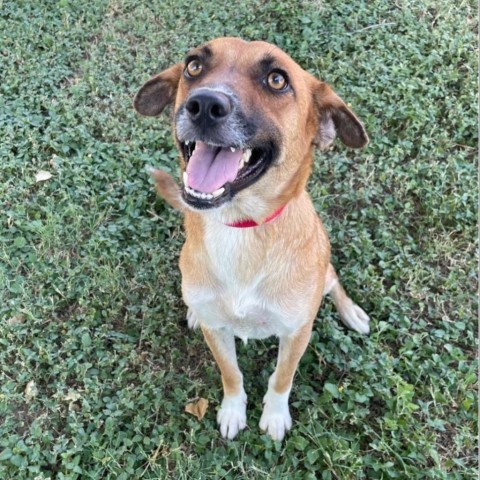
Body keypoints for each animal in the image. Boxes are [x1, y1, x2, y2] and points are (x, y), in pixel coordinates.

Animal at [135, 37, 372, 440]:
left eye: (277, 79)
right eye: (193, 66)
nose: (204, 105)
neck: (241, 228)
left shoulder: (296, 333)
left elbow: (281, 378)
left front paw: (274, 416)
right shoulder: (218, 332)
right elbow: (231, 373)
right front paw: (233, 410)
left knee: (334, 280)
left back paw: (351, 312)